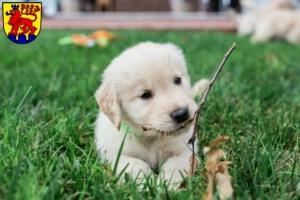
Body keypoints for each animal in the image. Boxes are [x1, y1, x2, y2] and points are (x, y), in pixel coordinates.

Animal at [94, 41, 209, 189]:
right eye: (145, 95)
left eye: (177, 80)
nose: (181, 113)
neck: (150, 137)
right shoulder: (116, 156)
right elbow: (137, 165)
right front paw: (147, 186)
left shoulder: (186, 152)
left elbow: (173, 167)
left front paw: (165, 186)